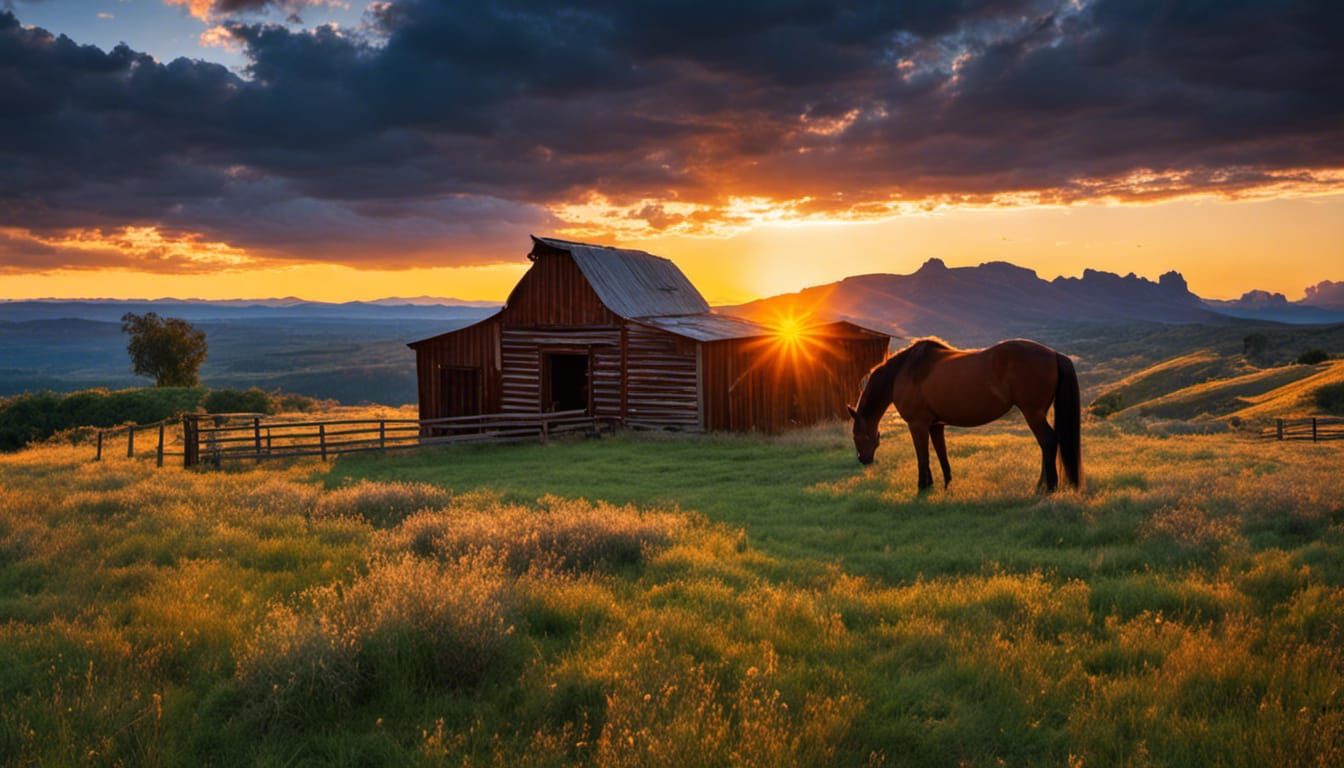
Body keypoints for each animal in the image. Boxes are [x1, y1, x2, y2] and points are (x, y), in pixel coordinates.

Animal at [847, 338, 1082, 492]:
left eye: (857, 437)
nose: (863, 460)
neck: (904, 371)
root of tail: (1054, 355)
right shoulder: (935, 425)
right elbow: (941, 453)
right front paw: (944, 483)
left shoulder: (917, 425)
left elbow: (922, 455)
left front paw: (922, 486)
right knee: (1046, 444)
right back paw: (1042, 484)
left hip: (1033, 413)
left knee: (1048, 441)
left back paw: (1048, 486)